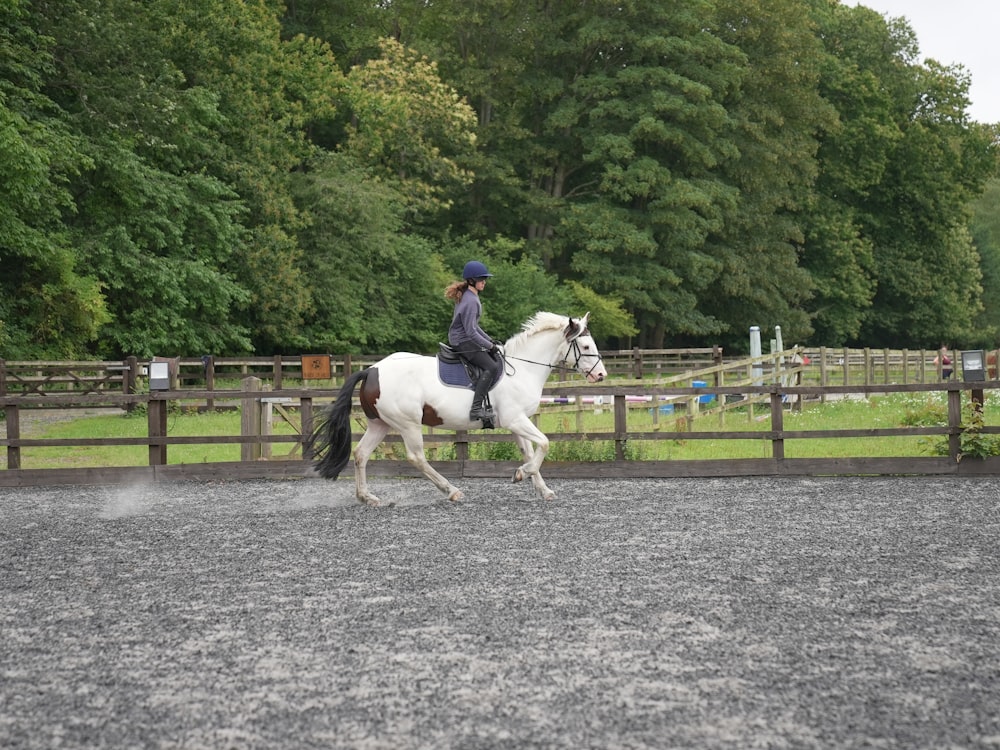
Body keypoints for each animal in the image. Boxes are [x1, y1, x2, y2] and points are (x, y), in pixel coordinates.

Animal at [304, 312, 604, 506]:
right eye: (586, 345)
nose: (601, 375)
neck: (522, 368)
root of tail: (372, 370)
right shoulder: (516, 420)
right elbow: (544, 443)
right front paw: (521, 474)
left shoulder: (516, 423)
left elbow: (532, 451)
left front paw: (542, 488)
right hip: (407, 424)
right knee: (416, 458)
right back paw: (451, 491)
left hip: (381, 424)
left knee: (361, 454)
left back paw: (367, 497)